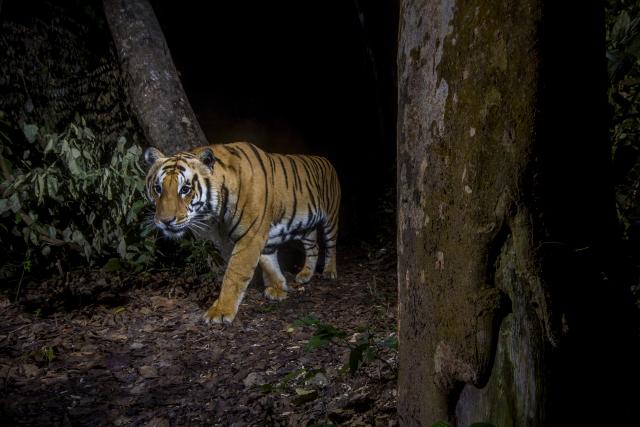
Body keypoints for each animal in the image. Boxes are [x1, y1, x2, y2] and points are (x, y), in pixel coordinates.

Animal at [144, 142, 340, 324]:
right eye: (158, 188)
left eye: (185, 189)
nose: (165, 220)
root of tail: (326, 160)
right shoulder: (262, 237)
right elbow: (268, 262)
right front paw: (279, 288)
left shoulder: (251, 236)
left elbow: (235, 274)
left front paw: (220, 311)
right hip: (306, 226)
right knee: (314, 247)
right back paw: (305, 275)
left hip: (331, 217)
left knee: (331, 245)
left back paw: (329, 272)